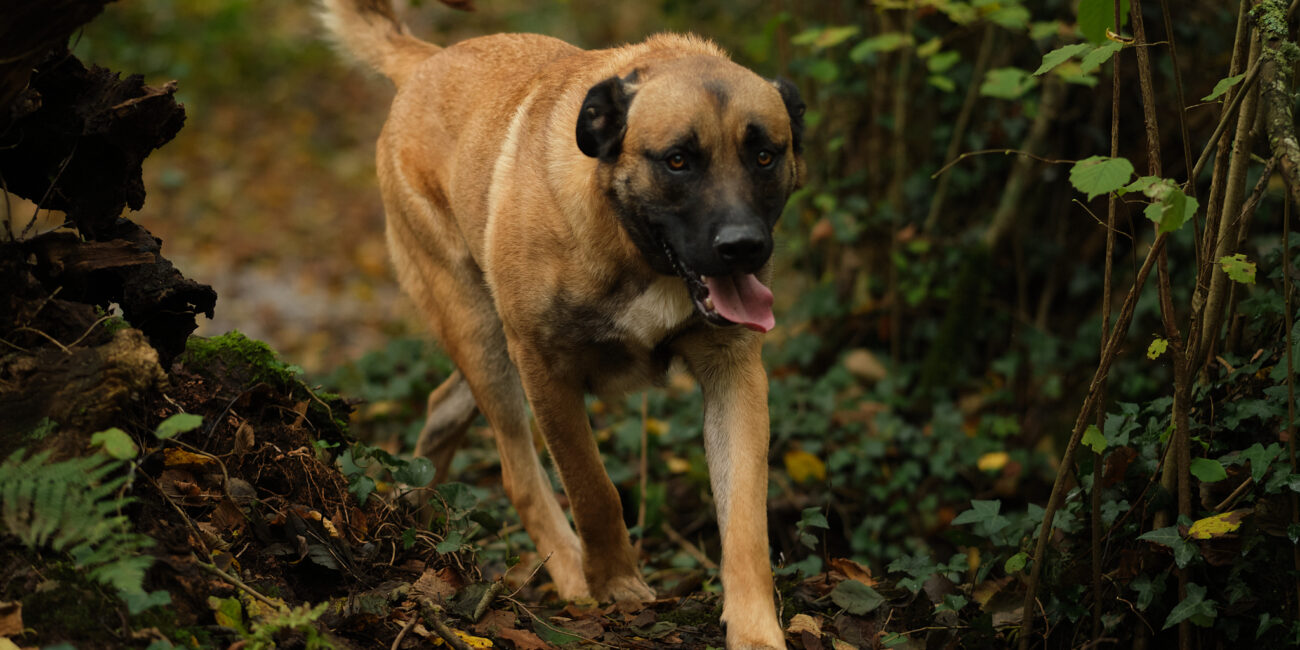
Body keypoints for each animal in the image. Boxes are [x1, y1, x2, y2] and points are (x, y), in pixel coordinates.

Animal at [322, 3, 800, 644]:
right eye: (677, 161)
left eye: (765, 155)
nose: (744, 246)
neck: (628, 243)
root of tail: (425, 61)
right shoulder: (545, 368)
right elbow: (592, 487)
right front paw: (614, 583)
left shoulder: (735, 374)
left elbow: (745, 518)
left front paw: (755, 631)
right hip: (485, 336)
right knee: (518, 472)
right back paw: (568, 571)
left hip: (487, 345)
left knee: (443, 405)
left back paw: (412, 507)